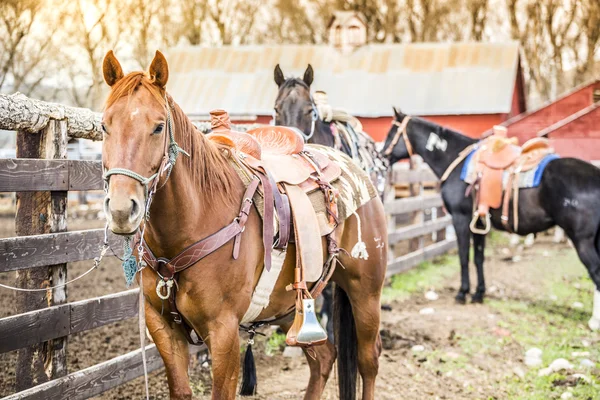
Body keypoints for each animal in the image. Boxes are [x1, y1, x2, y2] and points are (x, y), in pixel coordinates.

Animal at [101, 50, 386, 400]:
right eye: (104, 125)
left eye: (158, 127)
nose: (121, 210)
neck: (196, 219)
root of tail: (355, 170)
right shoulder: (162, 328)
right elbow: (180, 390)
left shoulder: (223, 331)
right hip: (294, 310)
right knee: (324, 358)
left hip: (365, 292)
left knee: (368, 360)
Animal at [382, 108, 600, 330]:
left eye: (391, 132)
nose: (382, 155)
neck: (455, 162)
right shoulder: (478, 222)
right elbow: (478, 258)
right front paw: (479, 293)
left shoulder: (461, 219)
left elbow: (463, 257)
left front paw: (462, 293)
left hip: (582, 241)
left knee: (596, 271)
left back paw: (594, 321)